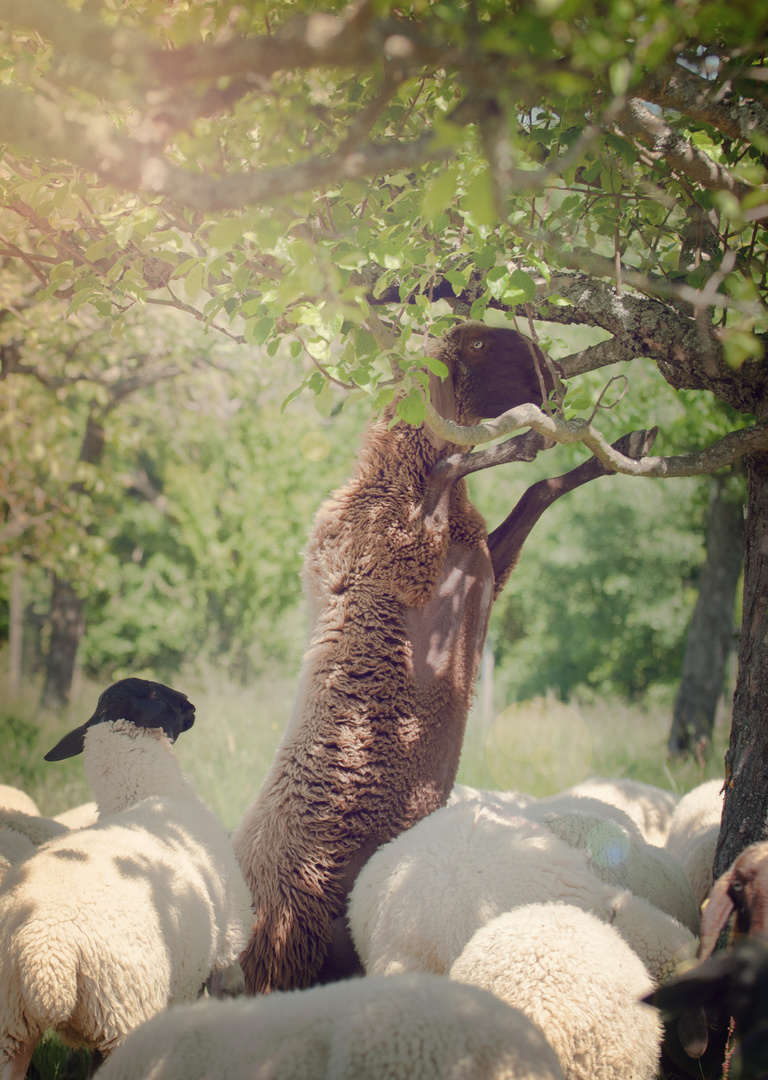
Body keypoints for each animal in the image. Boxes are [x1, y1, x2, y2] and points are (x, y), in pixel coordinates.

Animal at [0, 678, 252, 1075]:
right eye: (152, 693)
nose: (191, 704)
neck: (149, 792)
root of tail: (44, 954)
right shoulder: (226, 952)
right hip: (126, 1014)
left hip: (11, 1031)